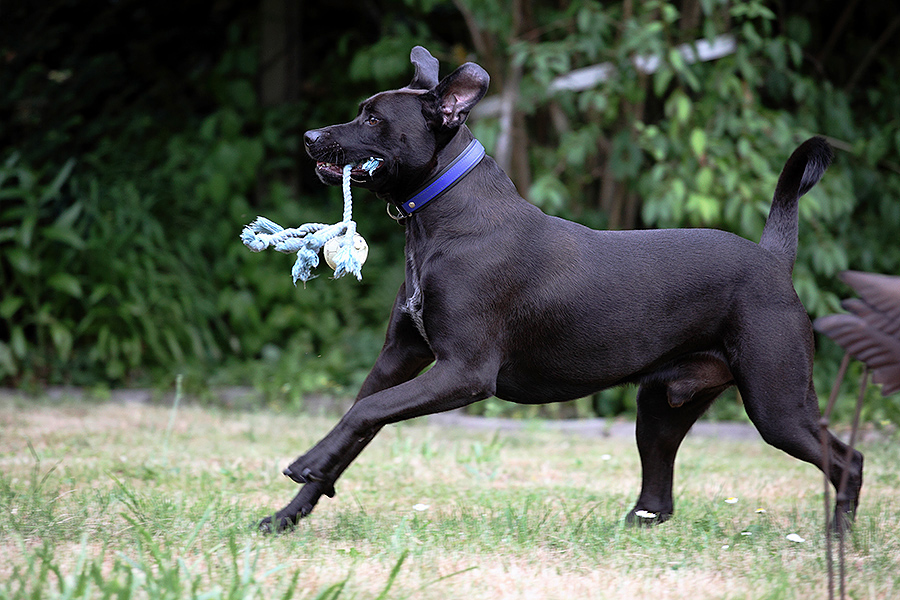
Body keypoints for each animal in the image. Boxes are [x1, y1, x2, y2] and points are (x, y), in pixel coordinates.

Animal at [256, 48, 860, 536]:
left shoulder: (463, 372)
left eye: (373, 118)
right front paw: (290, 512)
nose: (309, 138)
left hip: (776, 403)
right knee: (659, 496)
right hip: (661, 406)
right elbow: (359, 419)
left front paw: (306, 463)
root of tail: (773, 260)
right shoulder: (398, 359)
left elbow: (365, 412)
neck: (442, 218)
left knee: (846, 461)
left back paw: (838, 537)